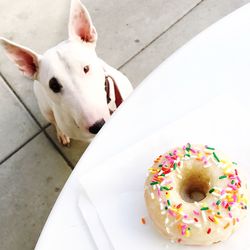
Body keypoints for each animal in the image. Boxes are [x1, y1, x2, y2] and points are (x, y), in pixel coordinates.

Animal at [0, 0, 133, 145]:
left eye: (86, 68)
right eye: (54, 86)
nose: (98, 126)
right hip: (46, 110)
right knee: (54, 122)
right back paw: (62, 134)